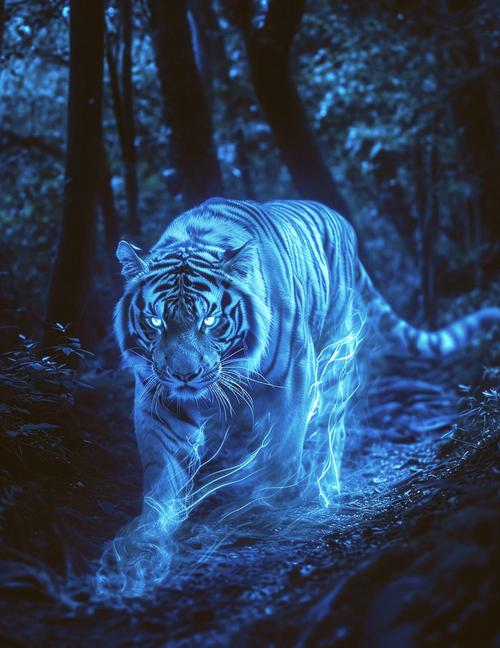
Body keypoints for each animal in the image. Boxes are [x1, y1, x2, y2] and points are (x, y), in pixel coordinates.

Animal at [114, 197, 500, 535]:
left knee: (332, 431)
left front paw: (266, 506)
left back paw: (322, 490)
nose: (184, 374)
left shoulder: (295, 377)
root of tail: (342, 221)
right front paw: (146, 540)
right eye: (156, 321)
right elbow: (163, 472)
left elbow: (284, 451)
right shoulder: (160, 395)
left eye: (209, 320)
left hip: (336, 360)